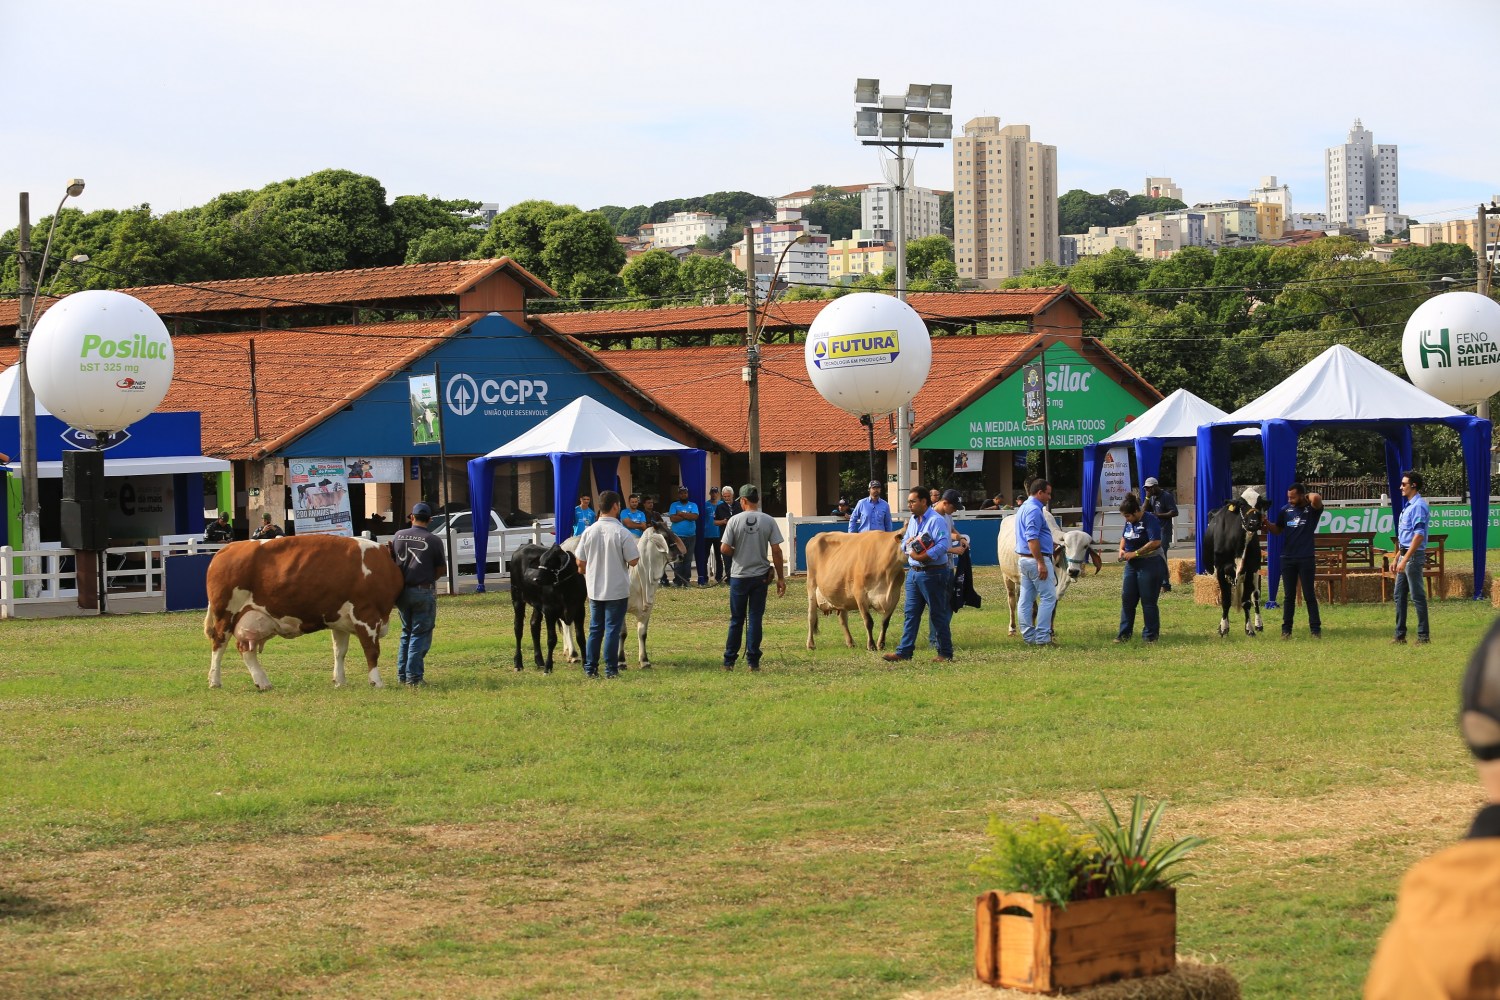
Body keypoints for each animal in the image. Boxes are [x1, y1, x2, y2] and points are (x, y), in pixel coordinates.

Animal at [207, 536, 405, 692]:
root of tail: (228, 547)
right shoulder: (366, 615)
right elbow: (371, 650)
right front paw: (376, 682)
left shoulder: (339, 619)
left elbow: (340, 651)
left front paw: (340, 681)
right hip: (226, 614)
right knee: (219, 644)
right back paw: (215, 681)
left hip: (251, 619)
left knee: (246, 650)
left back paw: (263, 683)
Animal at [513, 539, 588, 671]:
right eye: (541, 560)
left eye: (551, 561)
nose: (536, 579)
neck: (566, 589)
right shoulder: (550, 611)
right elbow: (551, 639)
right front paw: (548, 666)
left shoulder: (579, 610)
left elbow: (581, 637)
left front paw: (586, 665)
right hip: (517, 598)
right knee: (518, 628)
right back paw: (518, 663)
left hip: (537, 604)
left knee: (534, 625)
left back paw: (539, 661)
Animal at [1200, 488, 1272, 638]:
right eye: (1242, 504)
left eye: (1259, 504)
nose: (1253, 523)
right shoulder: (1220, 570)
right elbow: (1225, 600)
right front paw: (1223, 628)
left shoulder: (1250, 569)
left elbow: (1246, 602)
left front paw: (1249, 629)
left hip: (1255, 571)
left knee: (1255, 595)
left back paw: (1259, 624)